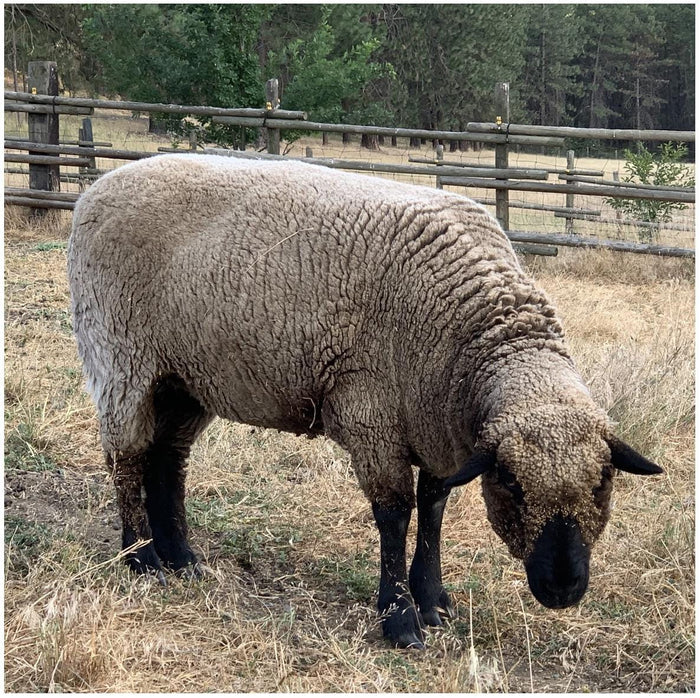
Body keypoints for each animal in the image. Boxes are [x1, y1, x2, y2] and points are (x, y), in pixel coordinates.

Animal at [67, 154, 662, 649]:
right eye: (511, 483)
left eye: (603, 482)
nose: (562, 589)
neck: (475, 331)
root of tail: (97, 188)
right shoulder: (371, 414)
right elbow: (395, 516)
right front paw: (399, 619)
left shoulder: (434, 422)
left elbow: (434, 508)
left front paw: (433, 600)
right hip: (120, 356)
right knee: (126, 458)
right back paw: (142, 558)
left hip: (186, 375)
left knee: (168, 458)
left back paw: (183, 559)